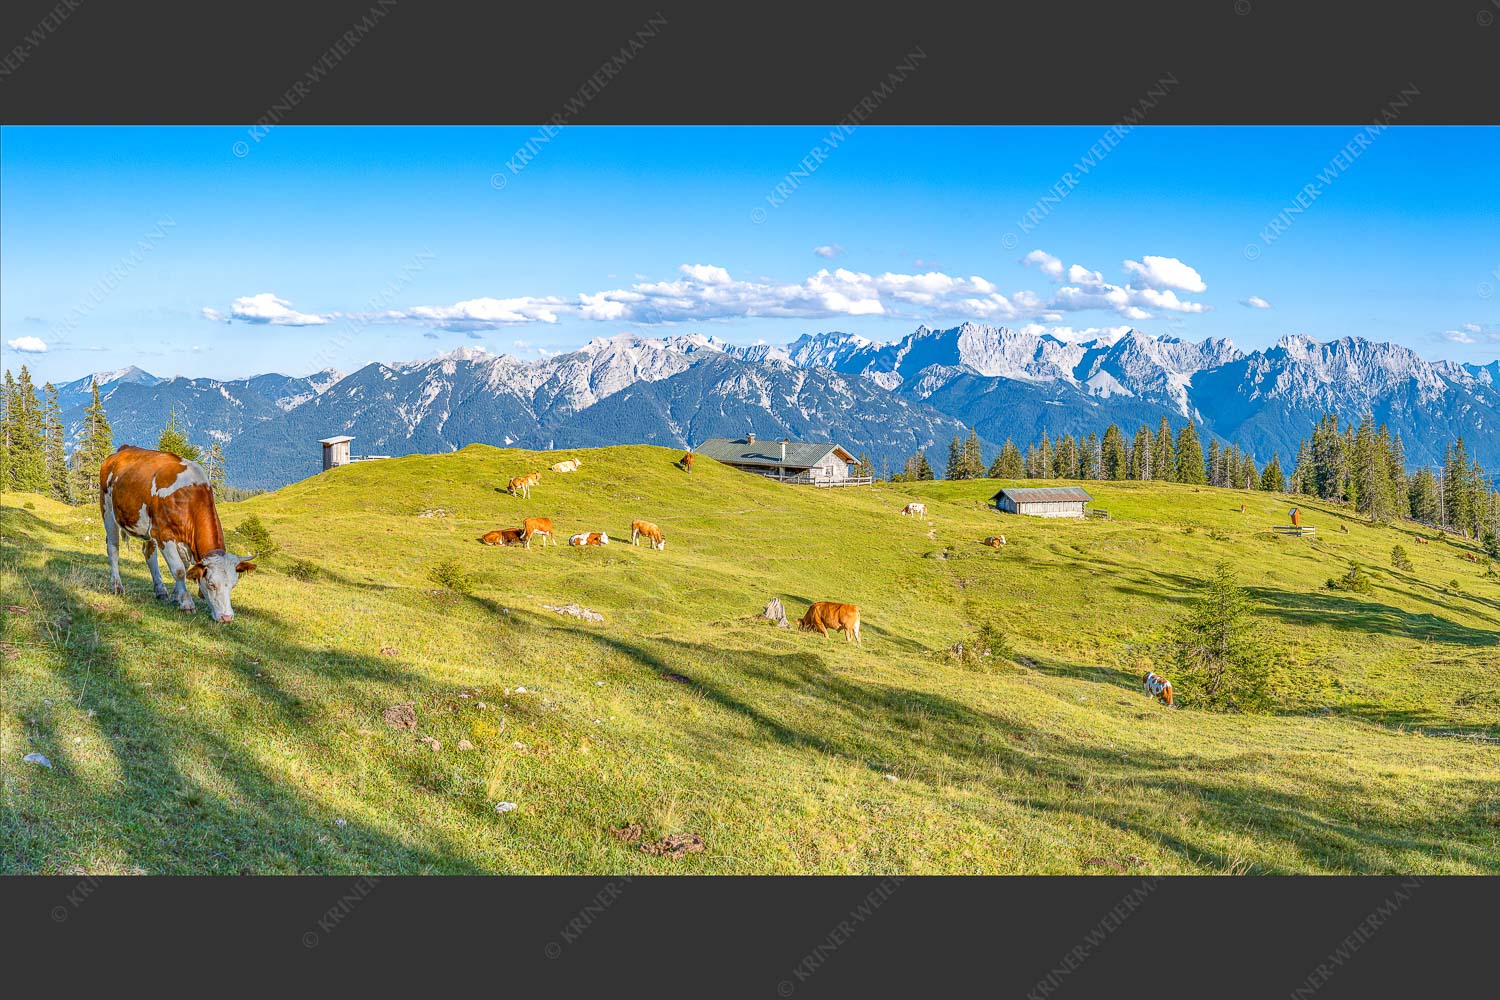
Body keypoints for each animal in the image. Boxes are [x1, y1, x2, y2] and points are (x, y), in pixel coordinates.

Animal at [99, 445, 256, 623]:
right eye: (211, 584)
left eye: (233, 584)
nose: (227, 617)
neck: (188, 498)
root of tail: (123, 450)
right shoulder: (164, 535)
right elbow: (179, 570)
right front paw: (186, 602)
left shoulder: (179, 541)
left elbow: (185, 568)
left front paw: (177, 596)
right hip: (107, 509)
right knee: (113, 548)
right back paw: (116, 586)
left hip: (148, 528)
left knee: (149, 553)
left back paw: (160, 590)